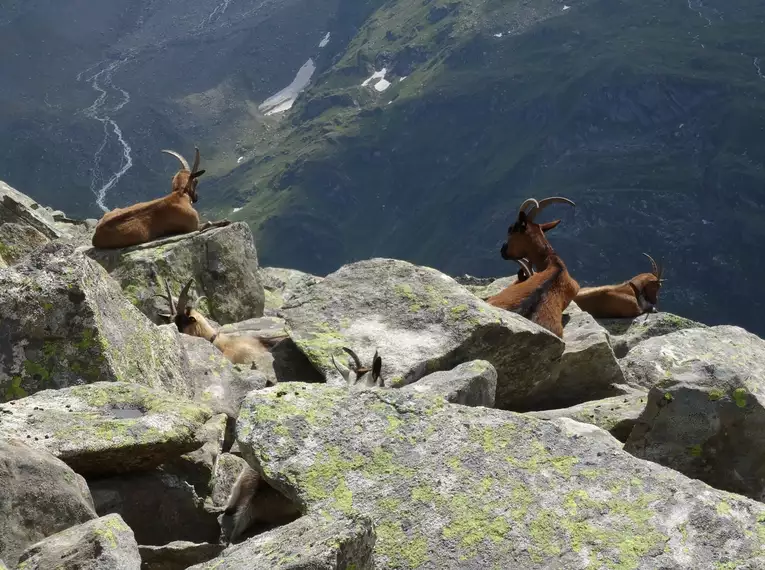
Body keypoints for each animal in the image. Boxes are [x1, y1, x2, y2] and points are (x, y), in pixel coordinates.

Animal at [91, 145, 228, 247]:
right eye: (196, 181)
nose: (196, 197)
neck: (180, 195)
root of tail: (95, 236)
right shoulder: (192, 226)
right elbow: (208, 224)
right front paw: (224, 221)